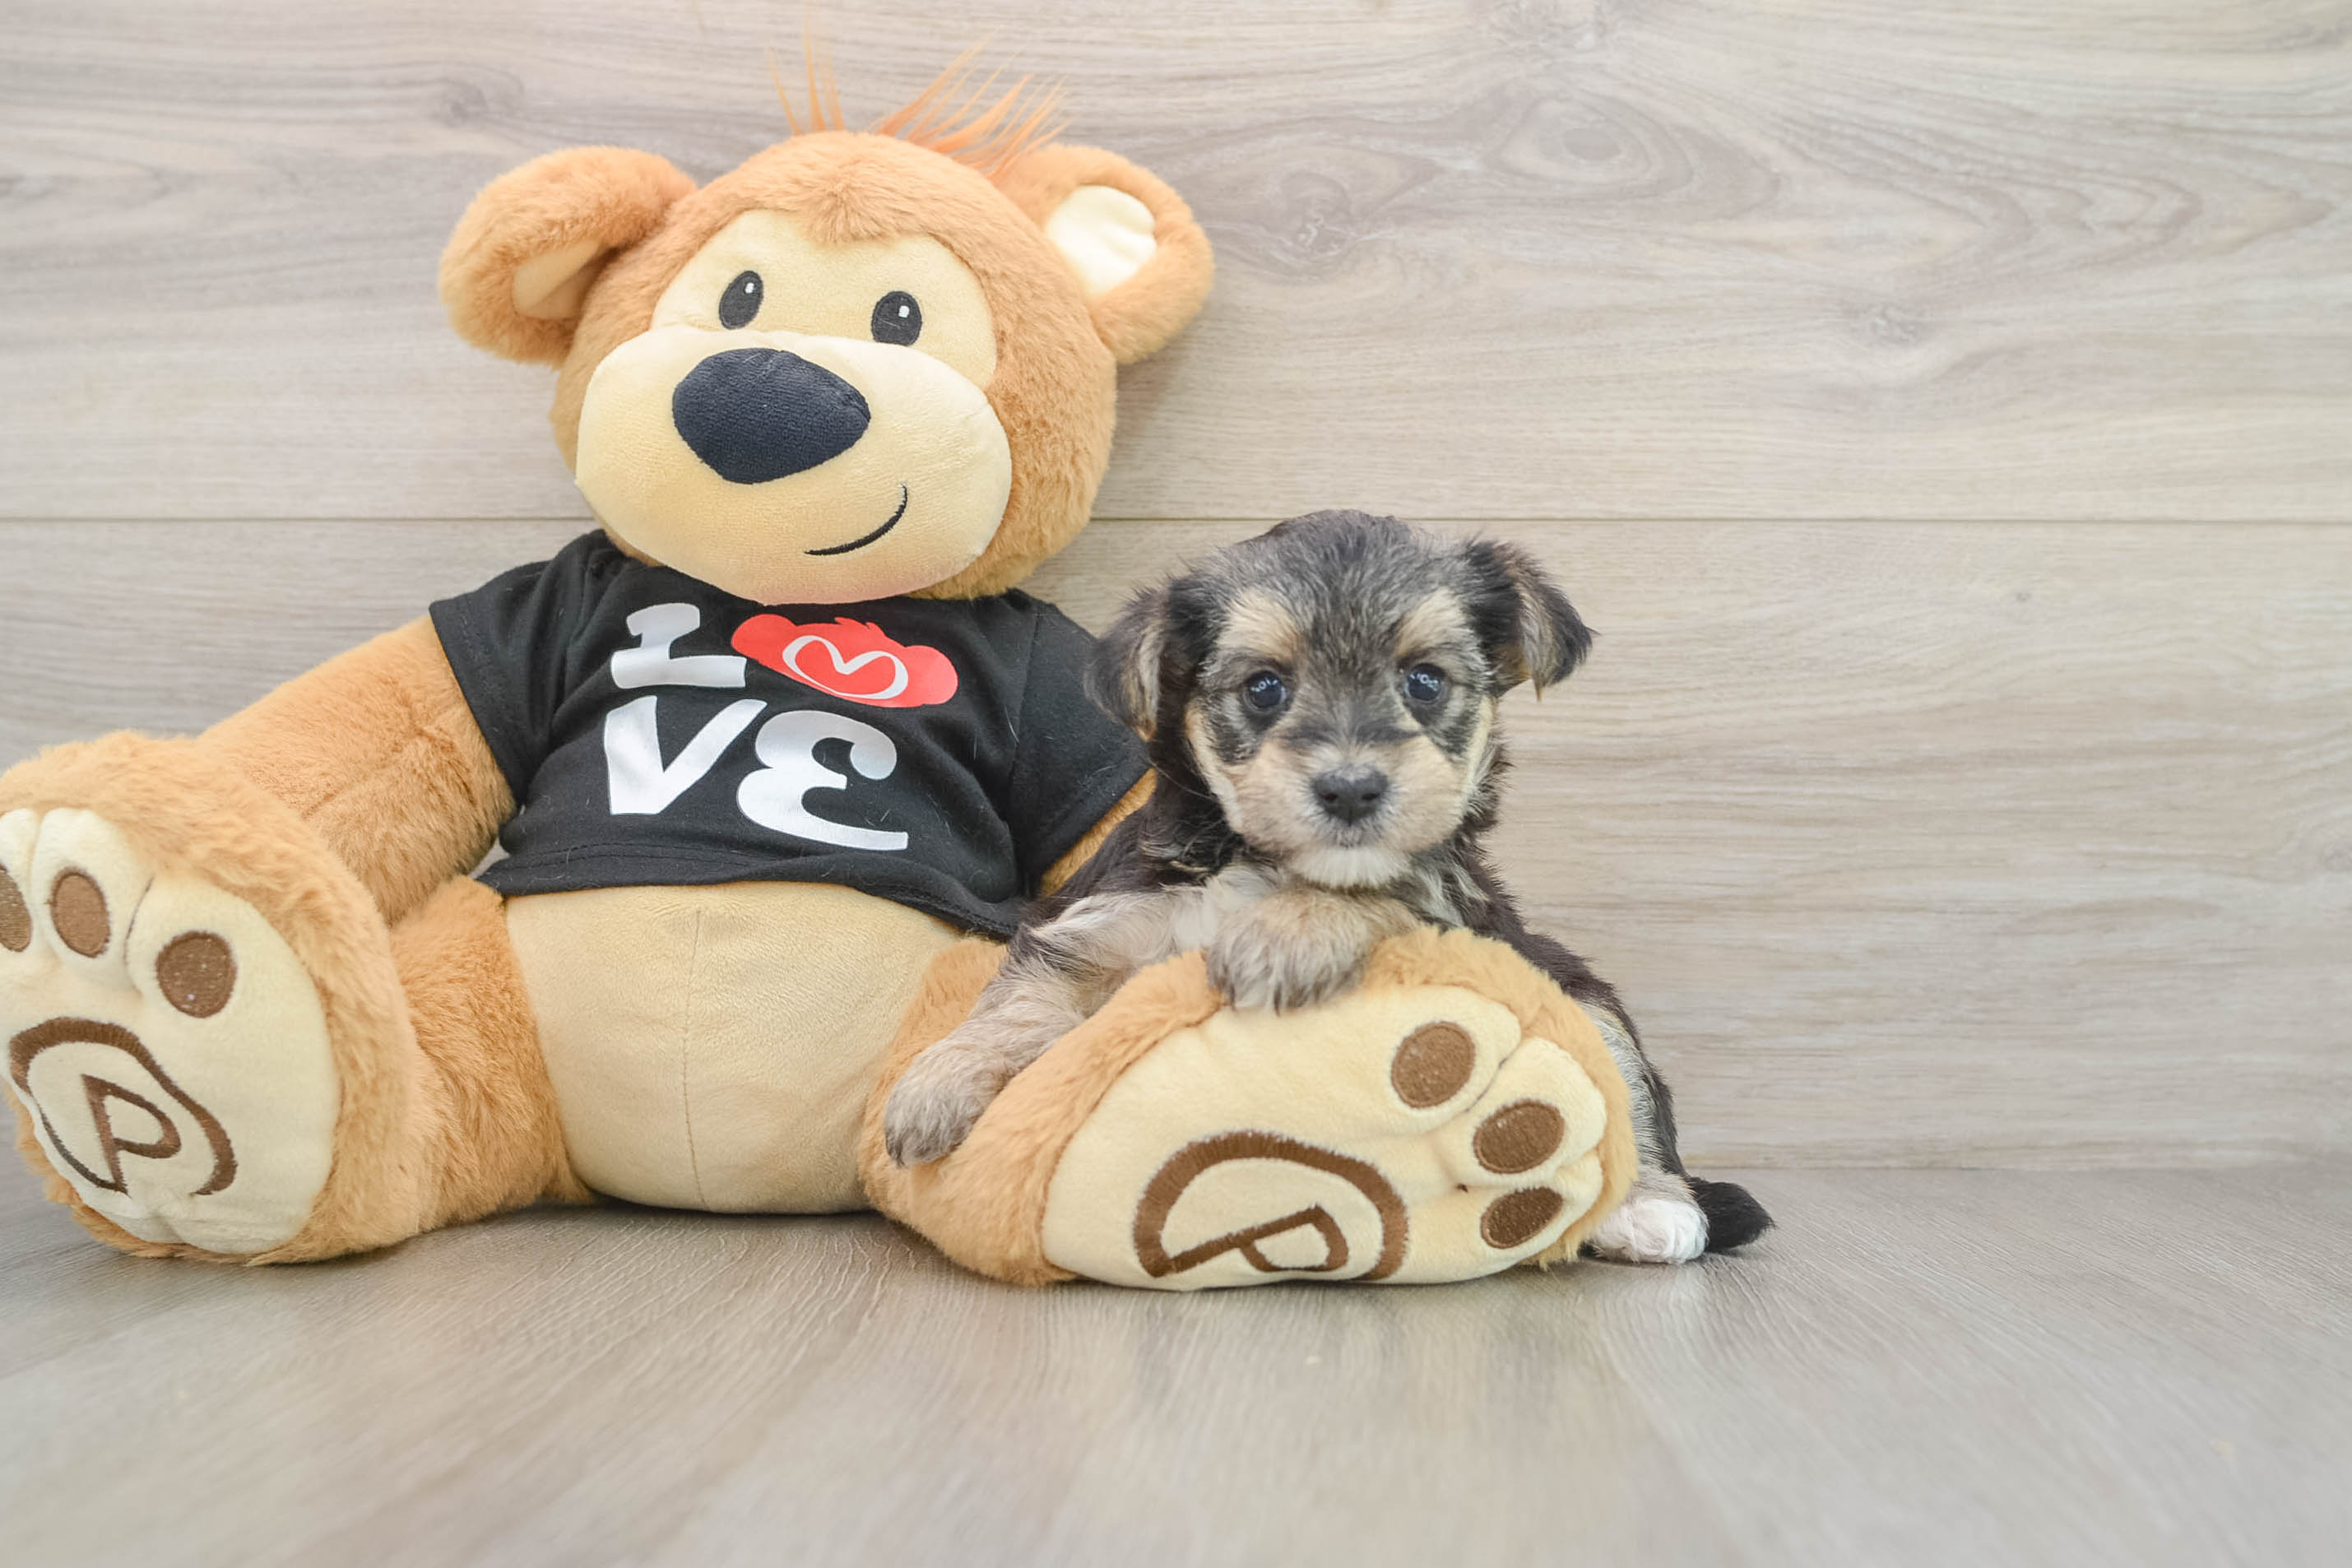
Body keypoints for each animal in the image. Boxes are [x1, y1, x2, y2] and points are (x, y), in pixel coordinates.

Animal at [883, 510, 1770, 1263]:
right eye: (1264, 688)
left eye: (1424, 681)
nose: (1350, 789)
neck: (1261, 861)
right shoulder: (1104, 918)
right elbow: (1021, 997)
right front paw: (936, 1084)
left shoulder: (1449, 906)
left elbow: (1375, 891)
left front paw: (1285, 935)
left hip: (1580, 994)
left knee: (1627, 1092)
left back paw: (1651, 1208)